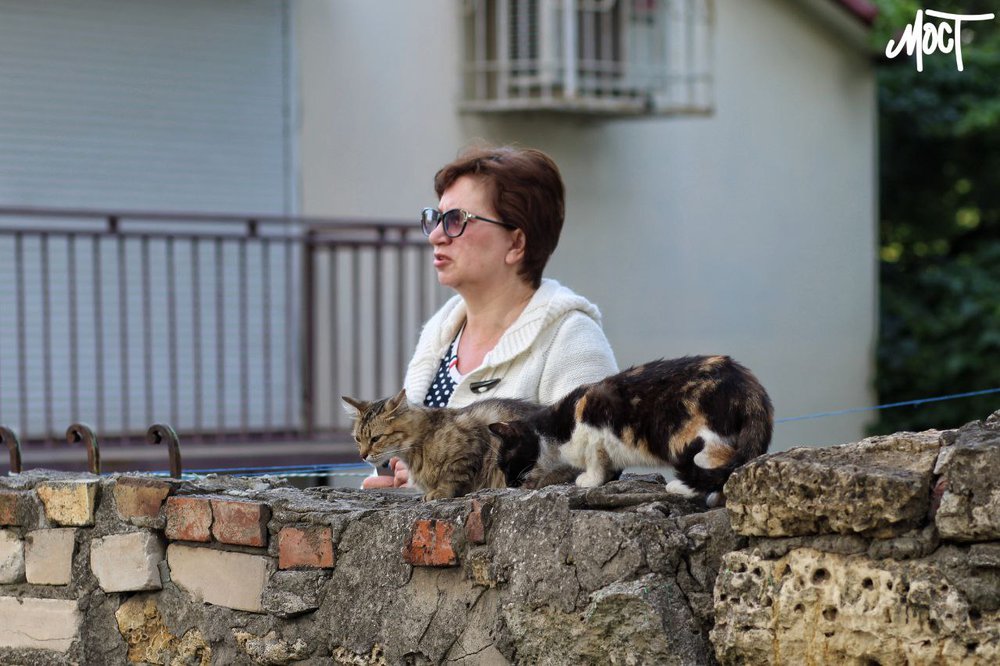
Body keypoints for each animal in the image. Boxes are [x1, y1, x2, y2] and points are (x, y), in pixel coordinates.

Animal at [344, 390, 548, 498]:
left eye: (375, 438)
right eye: (358, 439)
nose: (363, 455)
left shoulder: (469, 446)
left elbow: (453, 476)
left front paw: (440, 492)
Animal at [490, 356, 772, 506]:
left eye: (505, 463)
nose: (509, 484)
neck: (556, 431)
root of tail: (749, 384)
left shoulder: (593, 432)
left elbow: (594, 461)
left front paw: (588, 480)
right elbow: (609, 464)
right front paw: (609, 478)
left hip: (696, 437)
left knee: (722, 462)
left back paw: (684, 489)